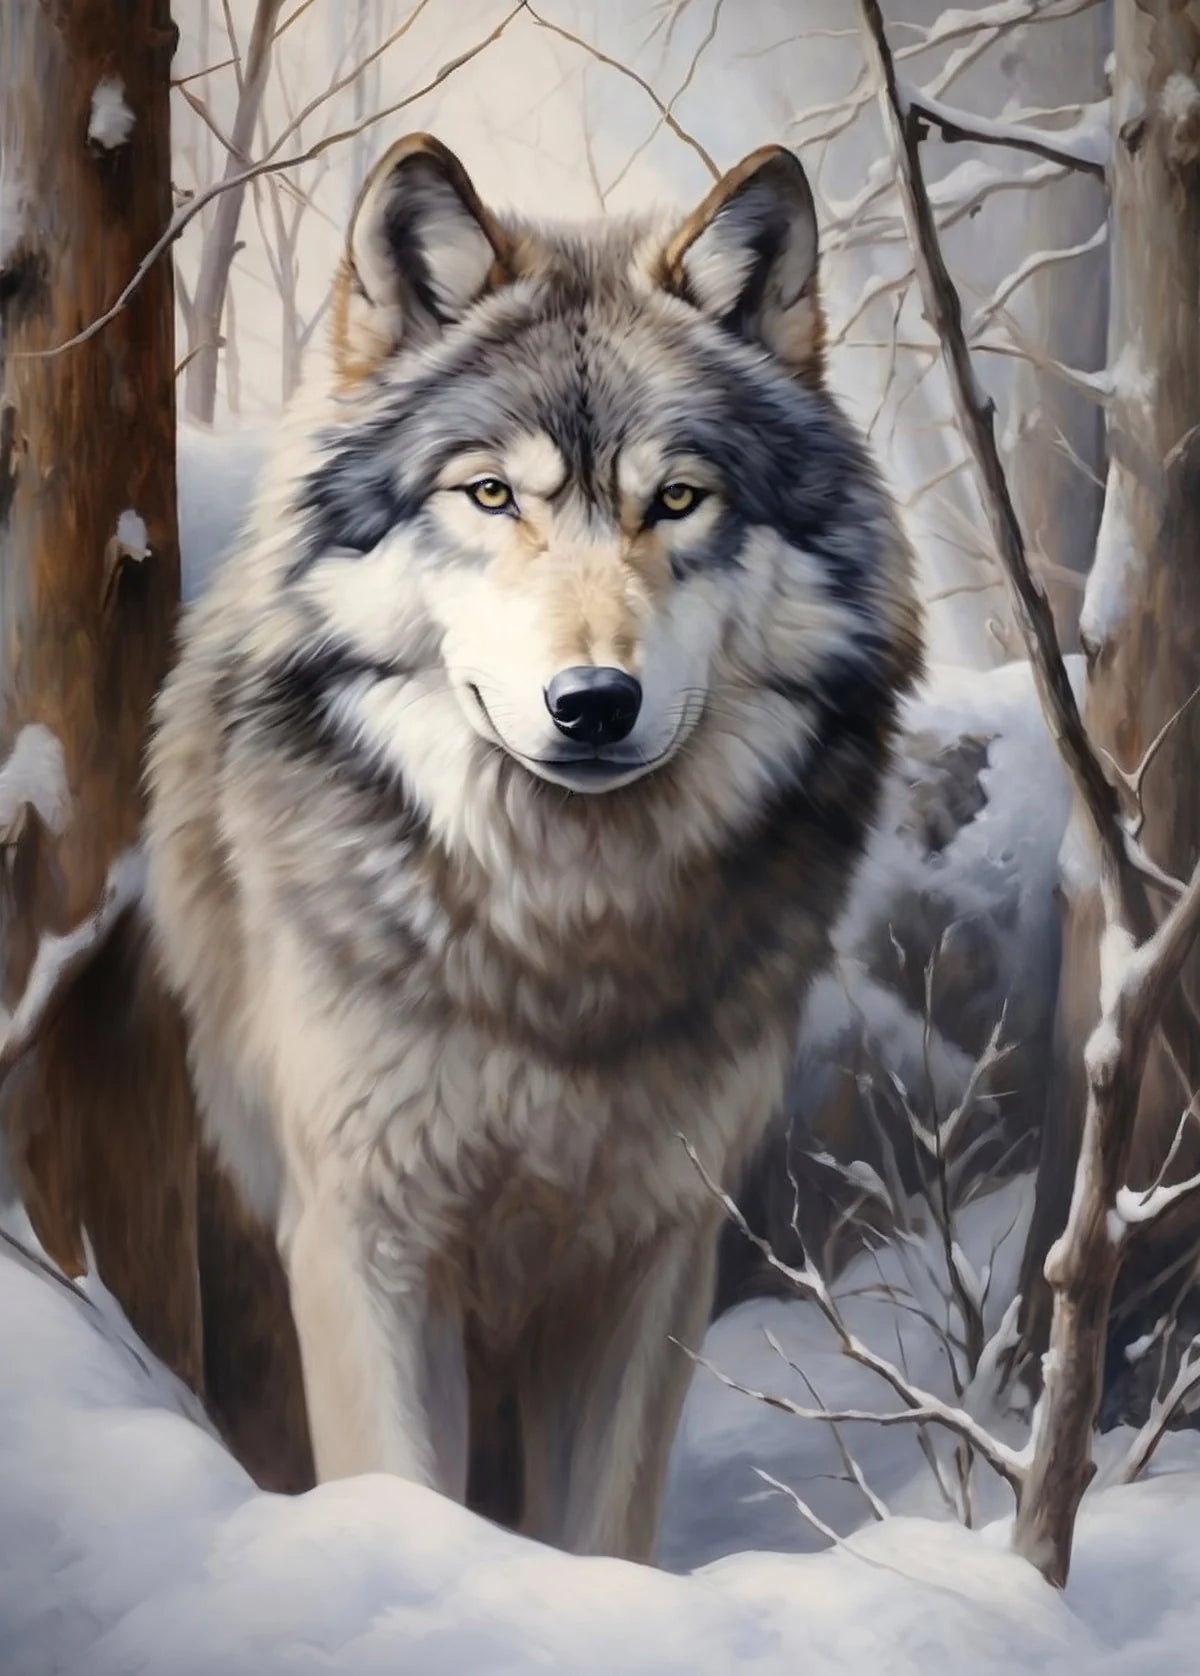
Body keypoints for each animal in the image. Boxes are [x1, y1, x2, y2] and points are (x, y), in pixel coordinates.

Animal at [145, 134, 922, 1562]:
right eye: (492, 493)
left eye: (678, 499)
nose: (594, 702)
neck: (562, 945)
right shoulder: (365, 1235)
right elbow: (399, 1487)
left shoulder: (653, 1248)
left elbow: (603, 1523)